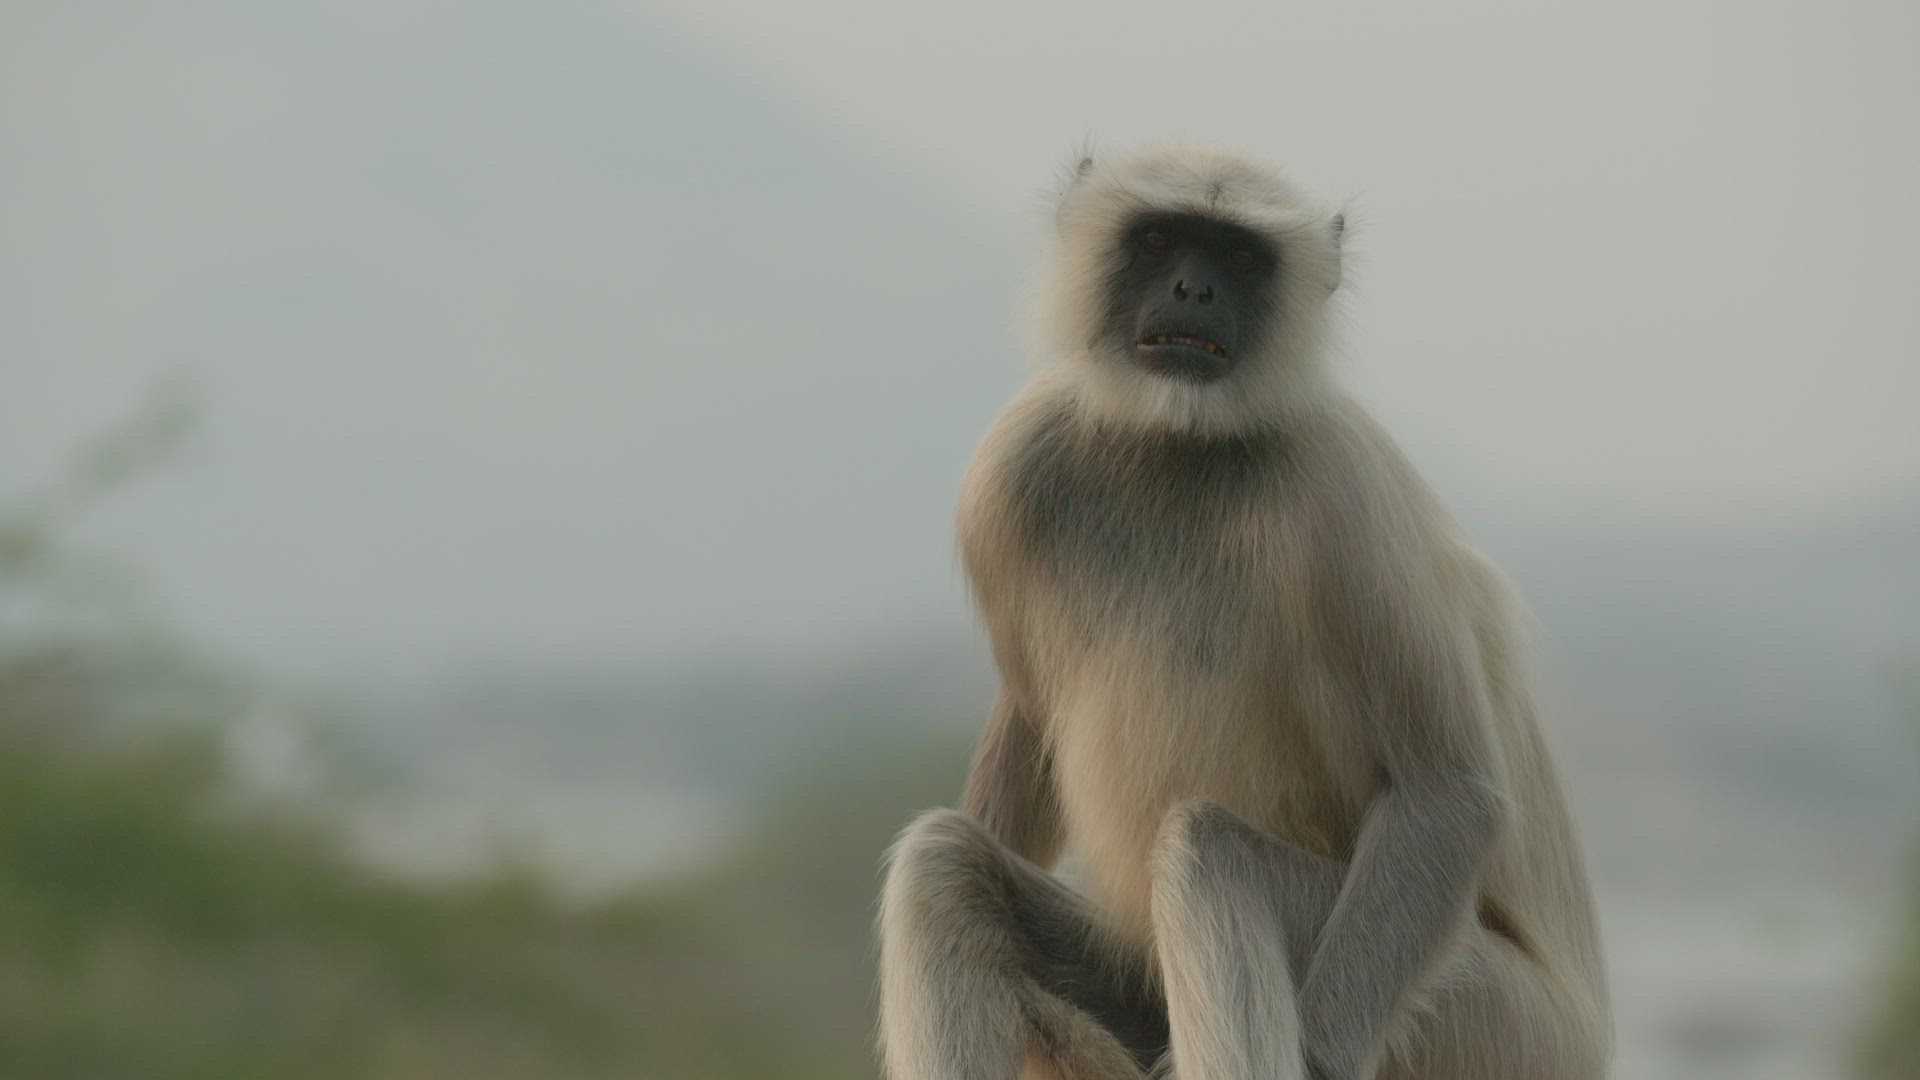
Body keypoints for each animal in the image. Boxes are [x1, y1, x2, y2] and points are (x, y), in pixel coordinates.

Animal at [875, 146, 1610, 1080]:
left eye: (1240, 255)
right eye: (1161, 239)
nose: (1195, 290)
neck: (1180, 442)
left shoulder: (1344, 489)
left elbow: (1448, 795)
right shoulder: (1013, 464)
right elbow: (1030, 728)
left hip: (1491, 1022)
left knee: (1211, 854)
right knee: (945, 862)